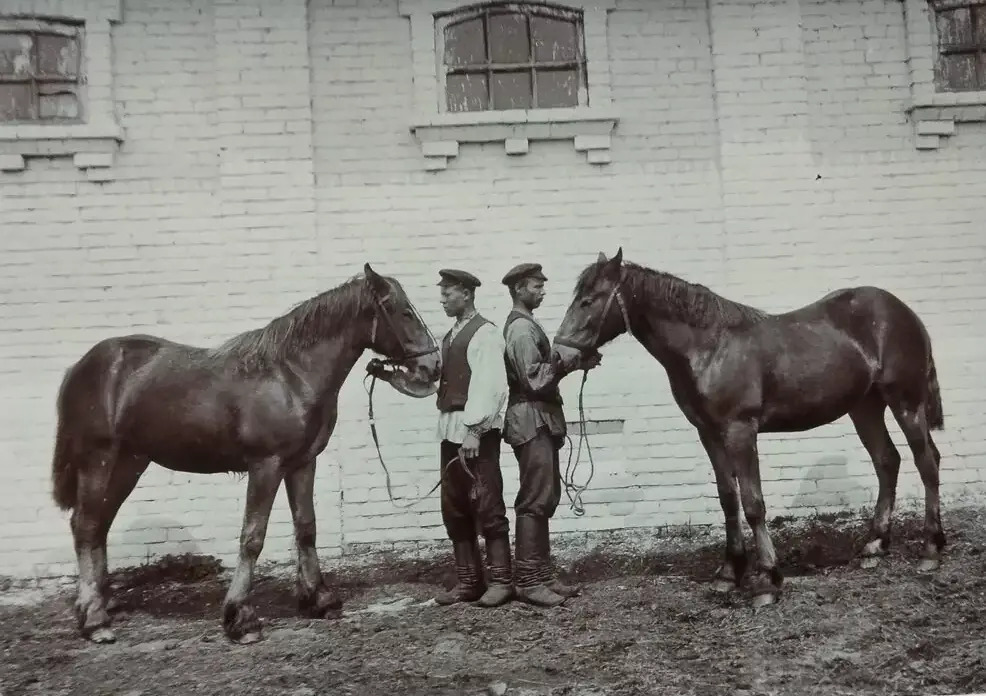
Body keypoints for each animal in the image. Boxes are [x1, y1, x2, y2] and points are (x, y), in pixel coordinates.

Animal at [50, 264, 441, 644]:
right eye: (403, 312)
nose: (432, 367)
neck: (291, 376)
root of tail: (81, 366)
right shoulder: (265, 466)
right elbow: (252, 537)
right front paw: (240, 618)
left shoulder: (302, 463)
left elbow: (306, 527)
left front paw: (320, 599)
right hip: (98, 459)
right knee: (85, 525)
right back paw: (95, 620)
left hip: (130, 462)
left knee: (98, 524)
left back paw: (100, 604)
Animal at [552, 248, 945, 608]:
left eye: (588, 300)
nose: (559, 355)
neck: (709, 347)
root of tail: (904, 312)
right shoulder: (708, 433)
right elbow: (728, 498)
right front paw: (729, 574)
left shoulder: (740, 430)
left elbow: (753, 502)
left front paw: (767, 580)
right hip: (865, 407)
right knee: (887, 461)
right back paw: (874, 547)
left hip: (906, 403)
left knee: (927, 461)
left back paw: (930, 549)